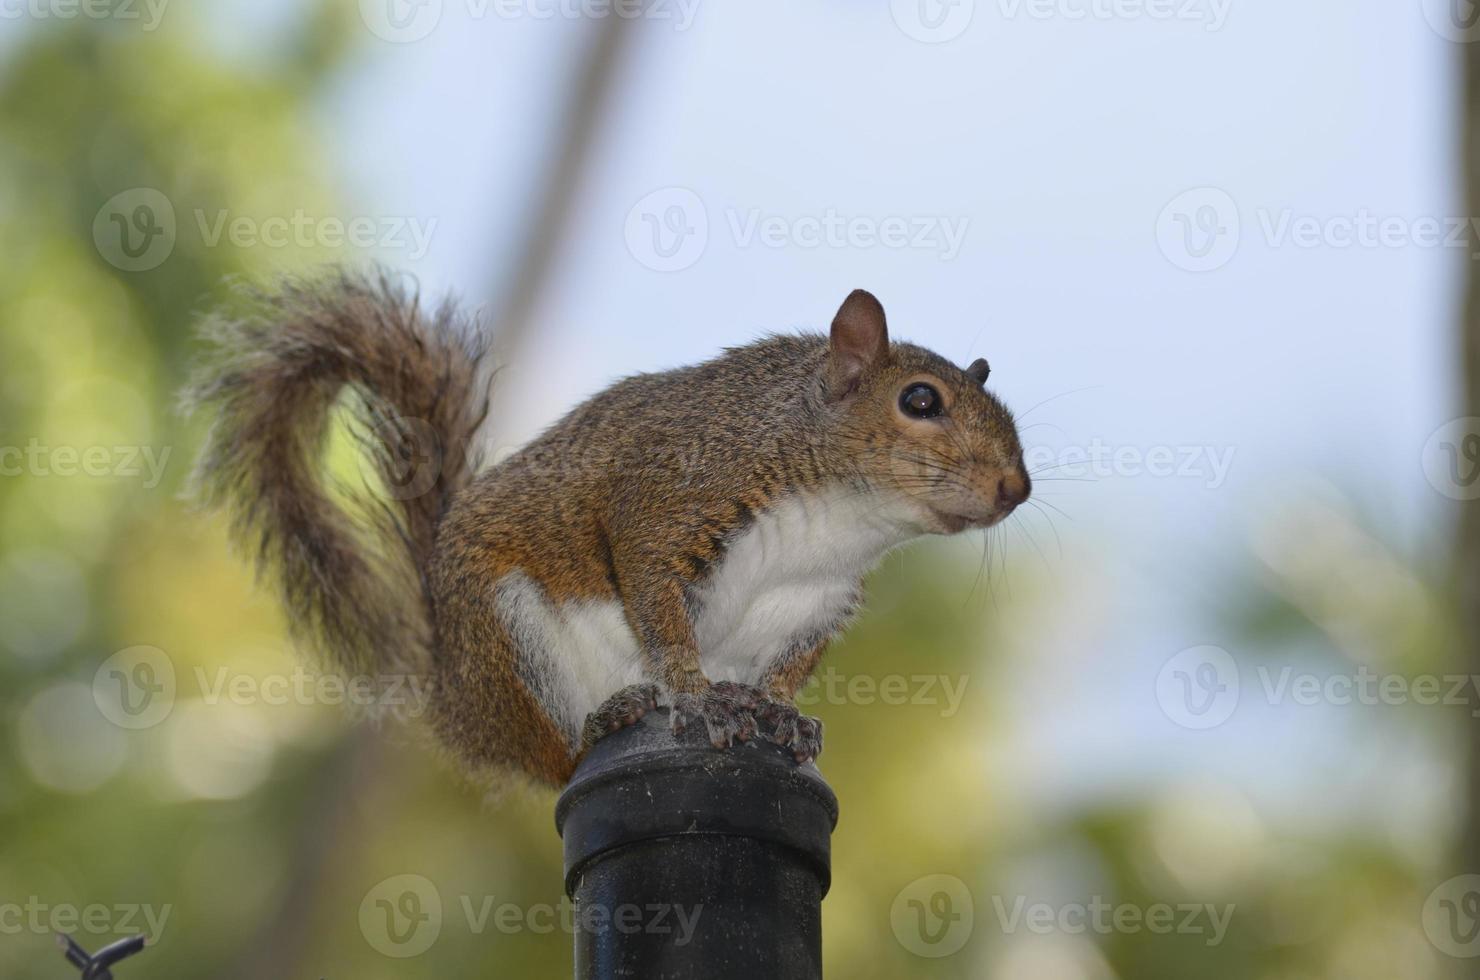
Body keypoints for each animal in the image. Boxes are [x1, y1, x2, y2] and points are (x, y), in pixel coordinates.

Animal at [187, 270, 1030, 793]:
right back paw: (612, 715)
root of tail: (457, 696)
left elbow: (790, 666)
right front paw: (695, 696)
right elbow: (655, 604)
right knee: (558, 757)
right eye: (919, 401)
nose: (1015, 489)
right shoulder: (667, 507)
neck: (838, 517)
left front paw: (779, 710)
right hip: (508, 634)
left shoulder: (819, 597)